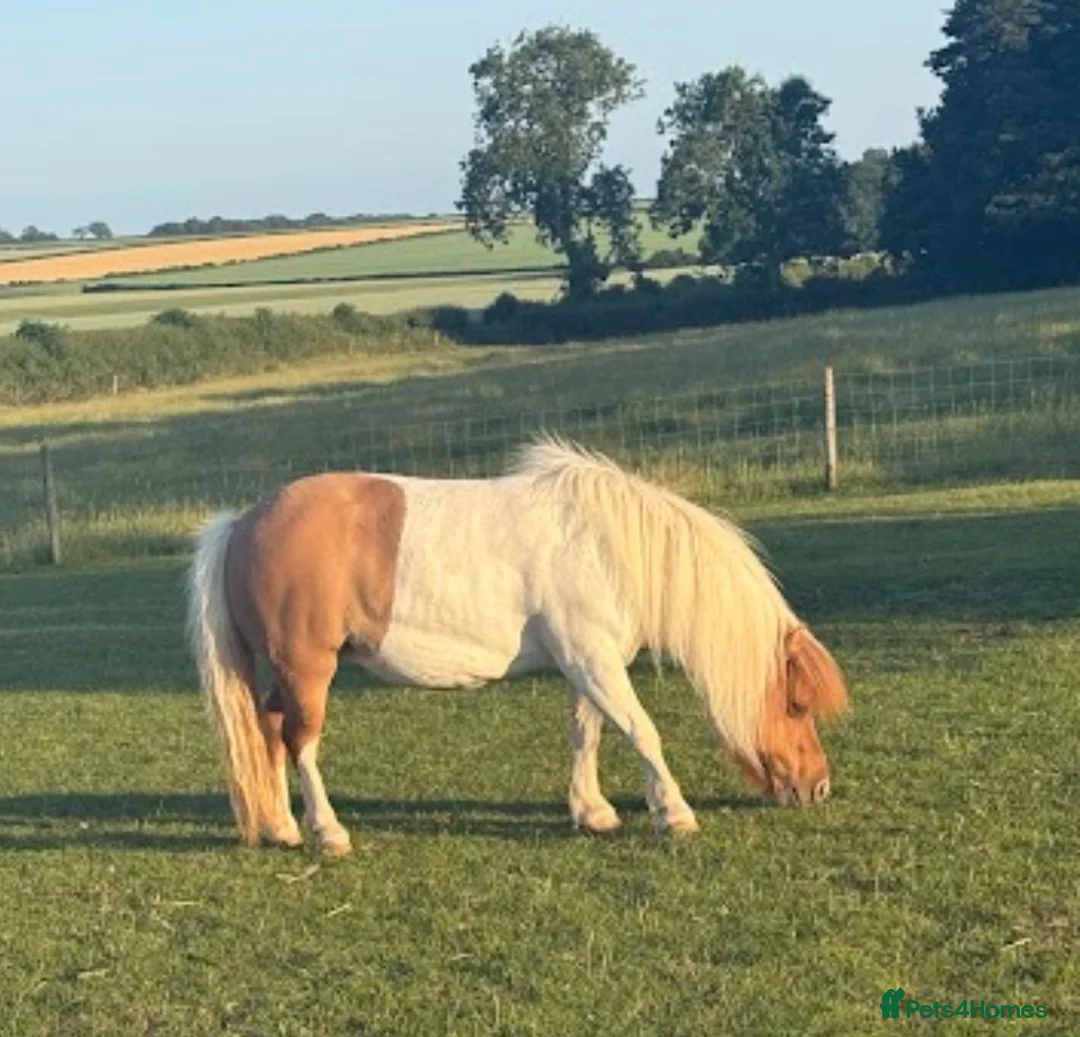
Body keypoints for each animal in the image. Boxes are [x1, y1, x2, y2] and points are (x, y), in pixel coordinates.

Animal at [187, 439, 848, 855]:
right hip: (308, 670)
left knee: (269, 728)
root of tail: (242, 523)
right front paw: (674, 814)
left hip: (288, 675)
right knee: (301, 742)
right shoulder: (593, 660)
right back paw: (327, 834)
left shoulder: (587, 663)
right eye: (796, 703)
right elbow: (641, 731)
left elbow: (587, 733)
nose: (817, 788)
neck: (606, 547)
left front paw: (593, 812)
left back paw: (281, 828)